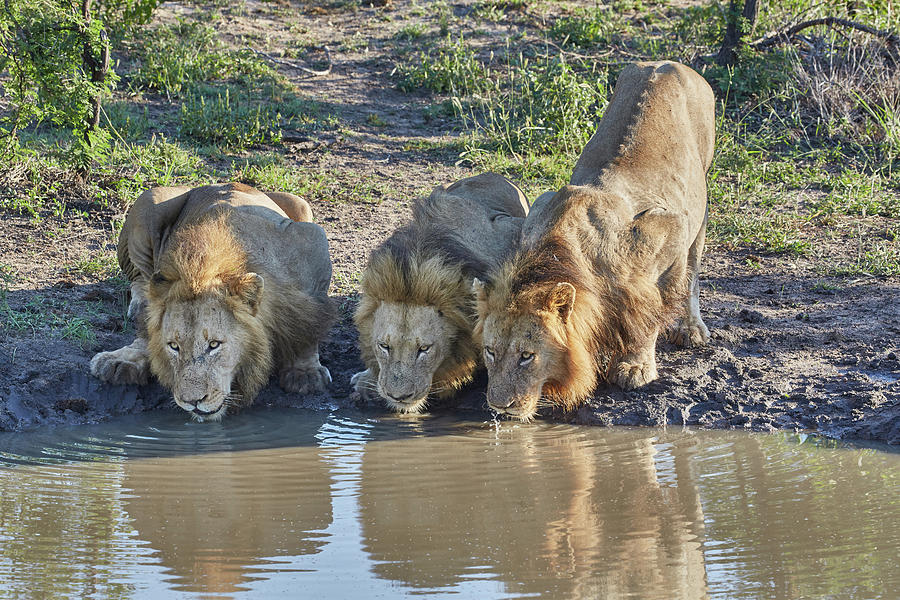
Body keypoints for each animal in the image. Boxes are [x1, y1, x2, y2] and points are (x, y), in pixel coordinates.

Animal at [89, 183, 336, 422]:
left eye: (214, 345)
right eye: (174, 346)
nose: (192, 401)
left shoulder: (314, 242)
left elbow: (311, 323)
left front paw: (305, 373)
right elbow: (147, 327)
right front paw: (124, 359)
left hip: (301, 204)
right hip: (149, 200)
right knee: (140, 278)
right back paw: (139, 302)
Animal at [474, 58, 712, 420]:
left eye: (527, 355)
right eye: (490, 351)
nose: (499, 406)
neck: (563, 251)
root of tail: (666, 62)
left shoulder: (669, 227)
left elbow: (649, 311)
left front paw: (634, 367)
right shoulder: (540, 204)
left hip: (701, 202)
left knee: (693, 272)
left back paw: (691, 328)